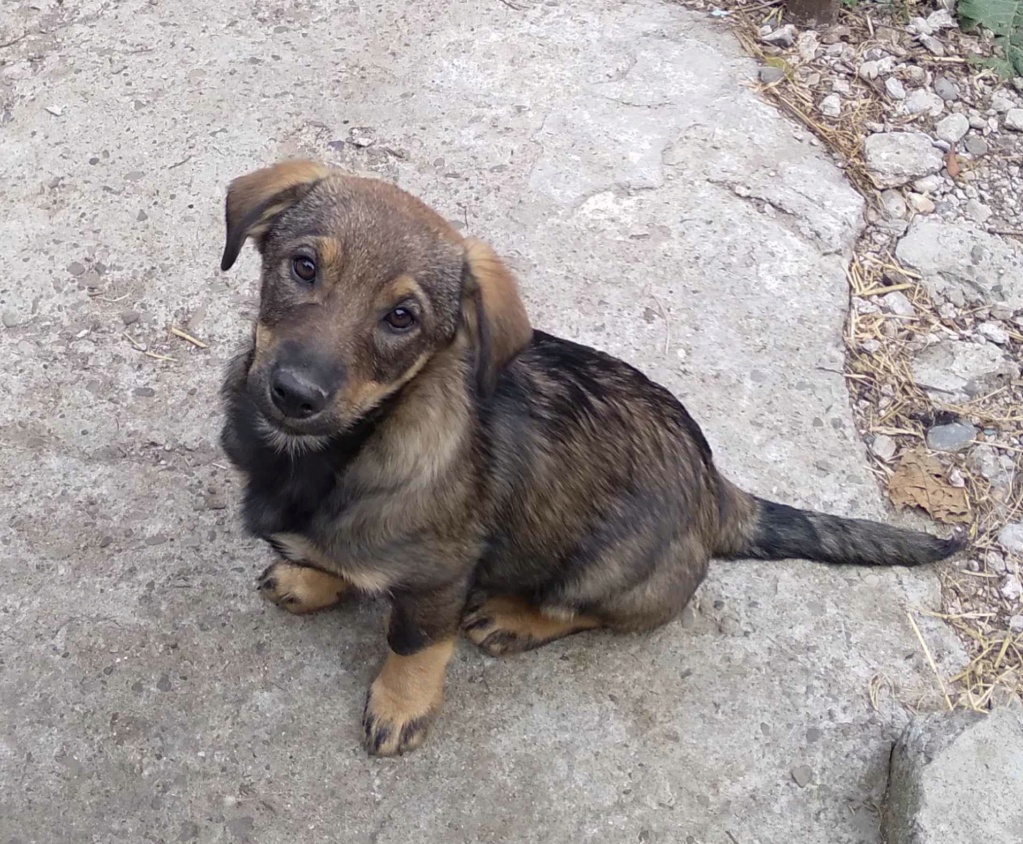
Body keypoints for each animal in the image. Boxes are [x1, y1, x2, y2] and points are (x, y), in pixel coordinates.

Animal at [217, 157, 965, 757]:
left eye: (402, 318)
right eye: (303, 266)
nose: (294, 394)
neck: (330, 453)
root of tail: (715, 488)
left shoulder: (439, 580)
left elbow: (413, 644)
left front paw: (402, 705)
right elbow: (333, 559)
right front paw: (312, 577)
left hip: (611, 568)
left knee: (600, 610)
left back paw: (515, 618)